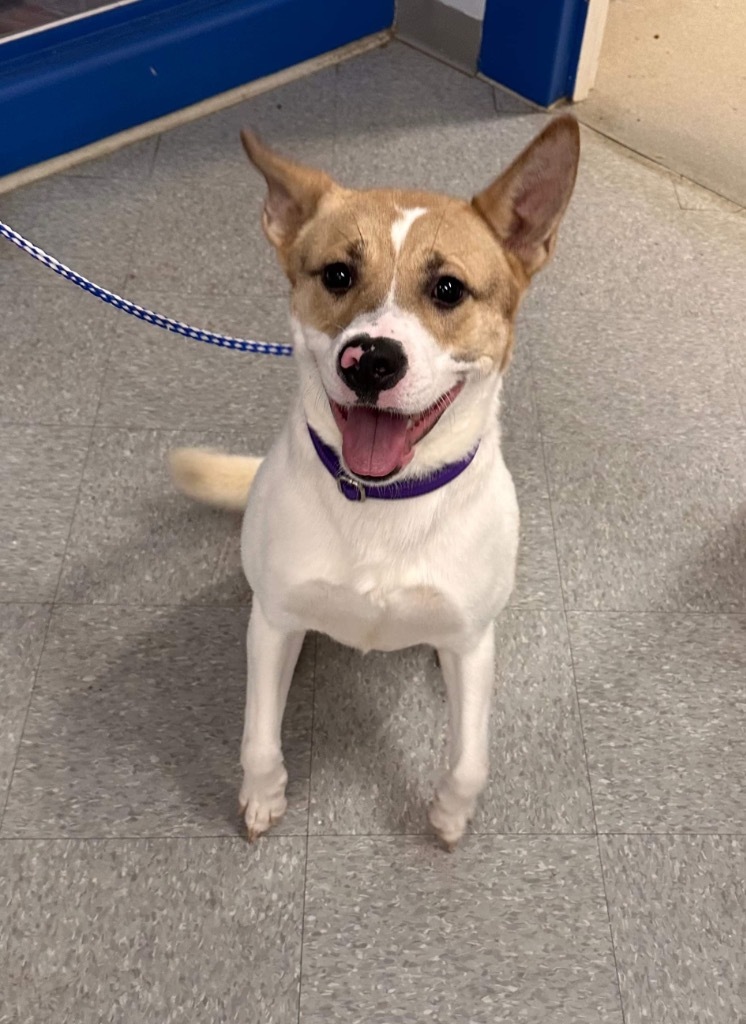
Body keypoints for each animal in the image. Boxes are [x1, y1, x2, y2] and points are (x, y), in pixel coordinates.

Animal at [171, 114, 577, 847]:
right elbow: (257, 740)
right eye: (337, 274)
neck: (384, 500)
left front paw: (449, 816)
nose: (370, 360)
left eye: (448, 289)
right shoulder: (272, 623)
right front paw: (263, 797)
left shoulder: (472, 643)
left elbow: (470, 760)